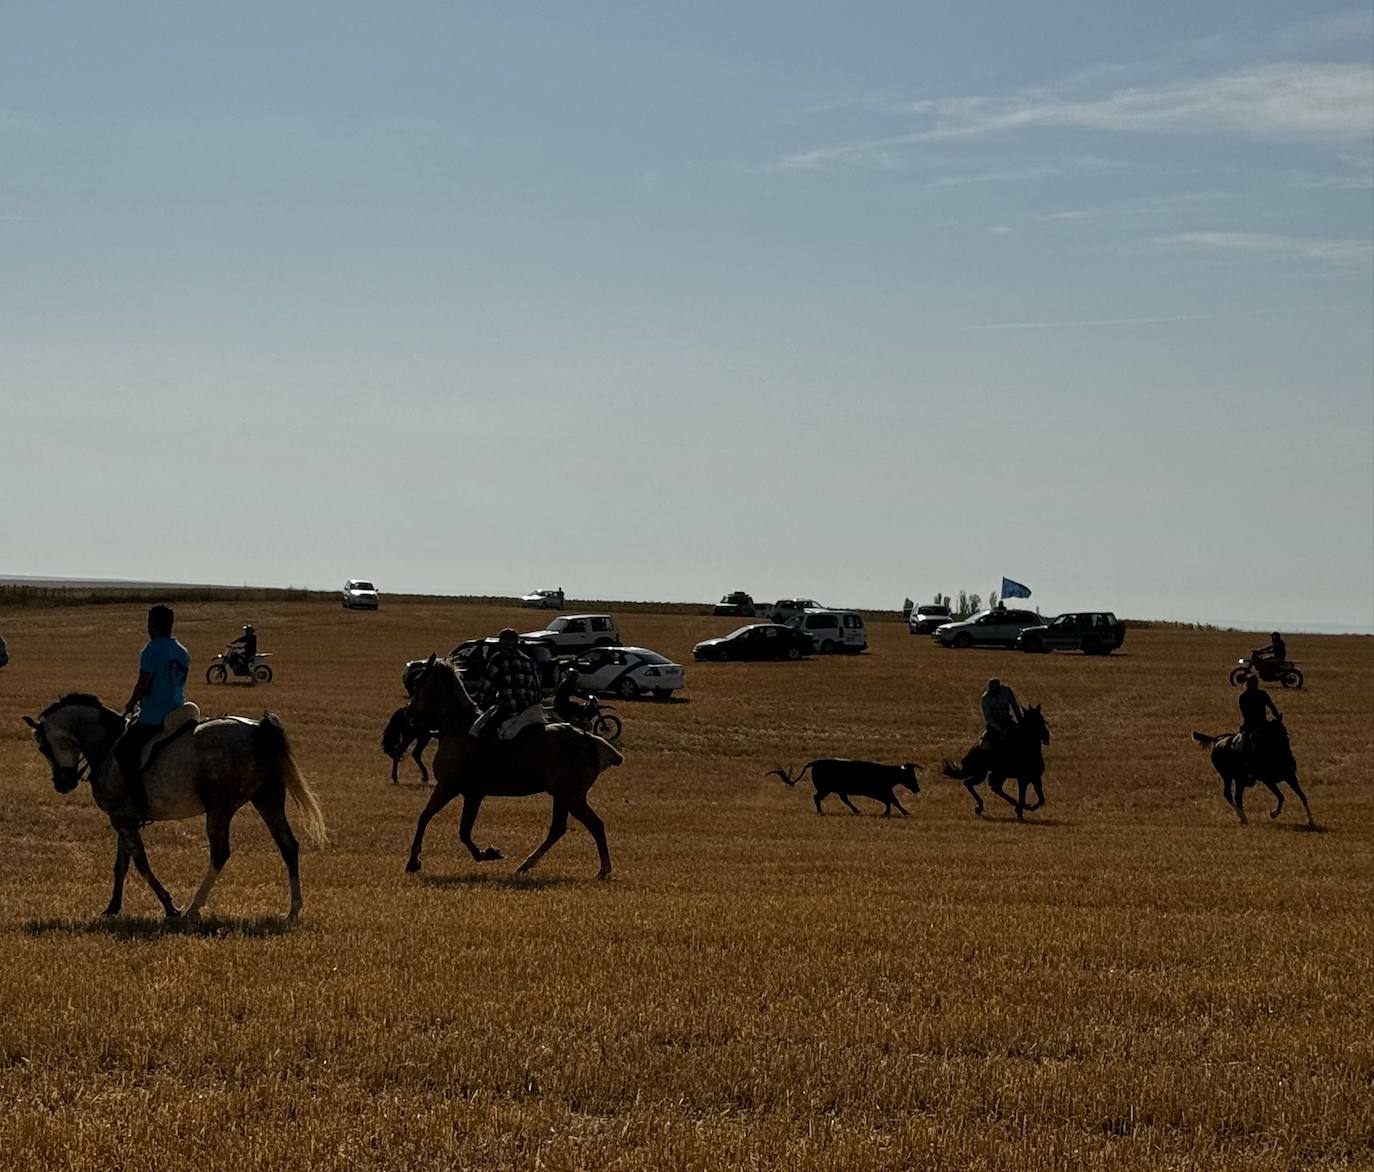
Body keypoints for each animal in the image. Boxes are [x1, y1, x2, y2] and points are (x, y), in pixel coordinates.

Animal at [24, 689, 327, 917]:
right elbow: (121, 865)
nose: (62, 783)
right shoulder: (125, 819)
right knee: (288, 846)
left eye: (43, 746)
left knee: (220, 853)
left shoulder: (121, 820)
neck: (106, 745)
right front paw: (112, 908)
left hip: (220, 809)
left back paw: (194, 908)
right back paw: (293, 909)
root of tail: (256, 730)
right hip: (267, 799)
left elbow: (141, 863)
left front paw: (170, 906)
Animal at [401, 654, 623, 873]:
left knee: (594, 824)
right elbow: (462, 830)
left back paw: (603, 869)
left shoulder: (448, 787)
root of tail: (588, 739)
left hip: (571, 797)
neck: (457, 725)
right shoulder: (472, 795)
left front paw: (414, 861)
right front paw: (485, 853)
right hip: (562, 796)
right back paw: (525, 865)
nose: (409, 717)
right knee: (558, 829)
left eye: (418, 682)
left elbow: (427, 817)